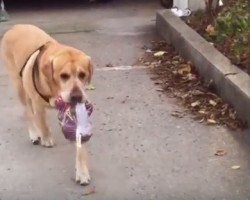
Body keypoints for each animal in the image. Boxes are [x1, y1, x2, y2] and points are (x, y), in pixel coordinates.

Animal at [0, 24, 94, 185]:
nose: (77, 96)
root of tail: (15, 27)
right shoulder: (38, 104)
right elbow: (42, 123)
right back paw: (34, 133)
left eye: (82, 75)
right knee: (28, 113)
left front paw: (82, 171)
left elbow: (79, 143)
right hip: (19, 87)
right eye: (64, 76)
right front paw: (46, 138)